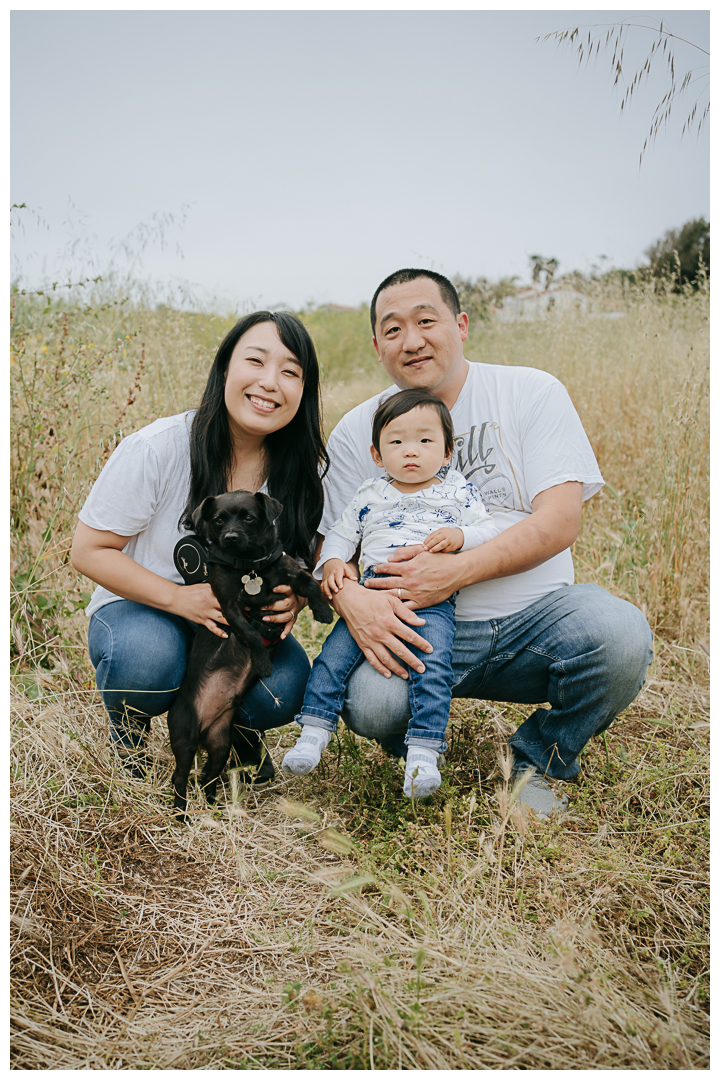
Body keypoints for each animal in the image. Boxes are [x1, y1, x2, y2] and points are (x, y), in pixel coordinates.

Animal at [169, 490, 334, 816]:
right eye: (219, 520)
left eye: (248, 517)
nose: (231, 536)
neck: (250, 566)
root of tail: (205, 728)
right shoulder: (230, 607)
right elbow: (252, 635)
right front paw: (262, 662)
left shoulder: (290, 575)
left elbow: (310, 583)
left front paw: (322, 610)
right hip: (185, 738)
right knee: (181, 777)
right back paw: (182, 813)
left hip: (220, 744)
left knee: (208, 777)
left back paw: (216, 807)